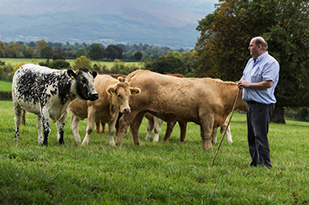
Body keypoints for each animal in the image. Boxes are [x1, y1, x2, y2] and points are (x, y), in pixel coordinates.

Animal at [114, 69, 244, 150]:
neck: (220, 92)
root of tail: (139, 72)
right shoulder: (207, 116)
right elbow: (208, 133)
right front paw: (210, 149)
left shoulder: (205, 117)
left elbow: (203, 134)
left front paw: (205, 148)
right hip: (132, 110)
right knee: (123, 123)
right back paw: (118, 143)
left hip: (139, 112)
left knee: (135, 126)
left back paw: (137, 144)